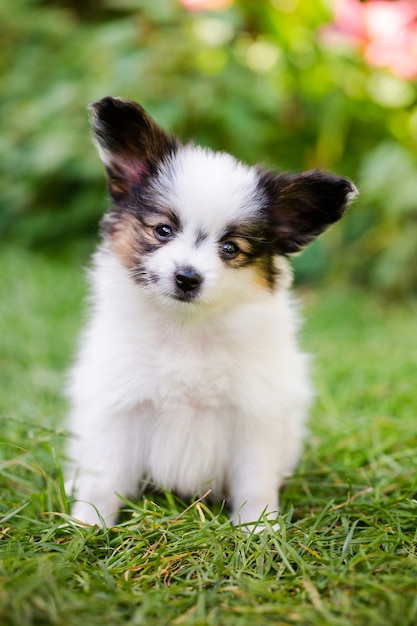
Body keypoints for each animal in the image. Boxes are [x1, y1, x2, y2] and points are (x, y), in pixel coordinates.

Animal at [65, 96, 354, 528]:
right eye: (163, 230)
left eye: (230, 248)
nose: (188, 277)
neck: (187, 329)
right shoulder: (118, 406)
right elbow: (104, 476)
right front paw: (88, 525)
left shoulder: (255, 416)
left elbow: (255, 482)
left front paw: (259, 529)